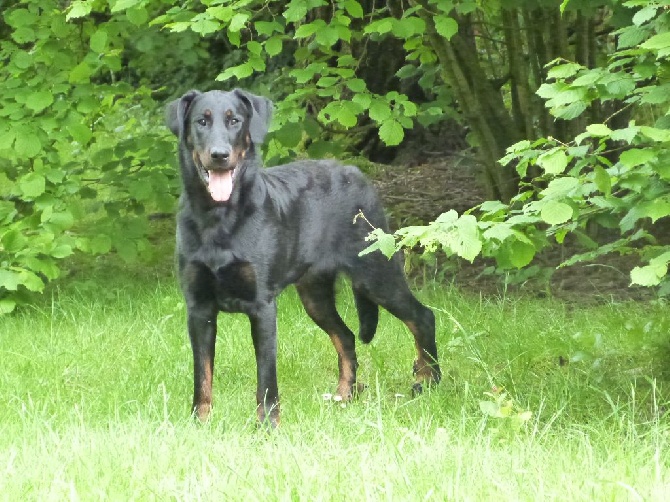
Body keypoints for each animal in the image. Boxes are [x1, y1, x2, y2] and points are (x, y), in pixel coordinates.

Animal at [167, 88, 440, 426]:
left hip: (376, 273)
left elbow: (266, 378)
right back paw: (344, 395)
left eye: (235, 121)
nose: (219, 155)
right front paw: (200, 423)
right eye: (201, 122)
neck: (219, 218)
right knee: (346, 337)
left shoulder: (262, 307)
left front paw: (268, 425)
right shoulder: (198, 308)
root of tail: (356, 173)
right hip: (315, 296)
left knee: (422, 317)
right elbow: (202, 375)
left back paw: (429, 380)